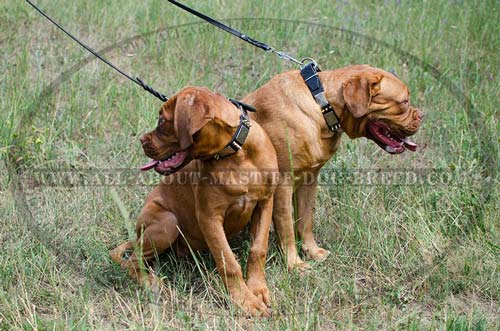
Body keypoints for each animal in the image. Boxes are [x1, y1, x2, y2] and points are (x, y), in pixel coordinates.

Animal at [110, 87, 280, 318]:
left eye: (162, 121)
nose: (142, 140)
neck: (236, 155)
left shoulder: (264, 203)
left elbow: (258, 249)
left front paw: (257, 289)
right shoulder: (209, 217)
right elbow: (228, 262)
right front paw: (245, 301)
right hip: (167, 222)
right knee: (132, 262)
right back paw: (152, 283)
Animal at [244, 64, 424, 270]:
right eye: (404, 101)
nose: (422, 115)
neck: (323, 105)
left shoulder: (309, 181)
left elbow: (306, 220)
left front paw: (312, 251)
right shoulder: (283, 185)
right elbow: (287, 226)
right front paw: (294, 264)